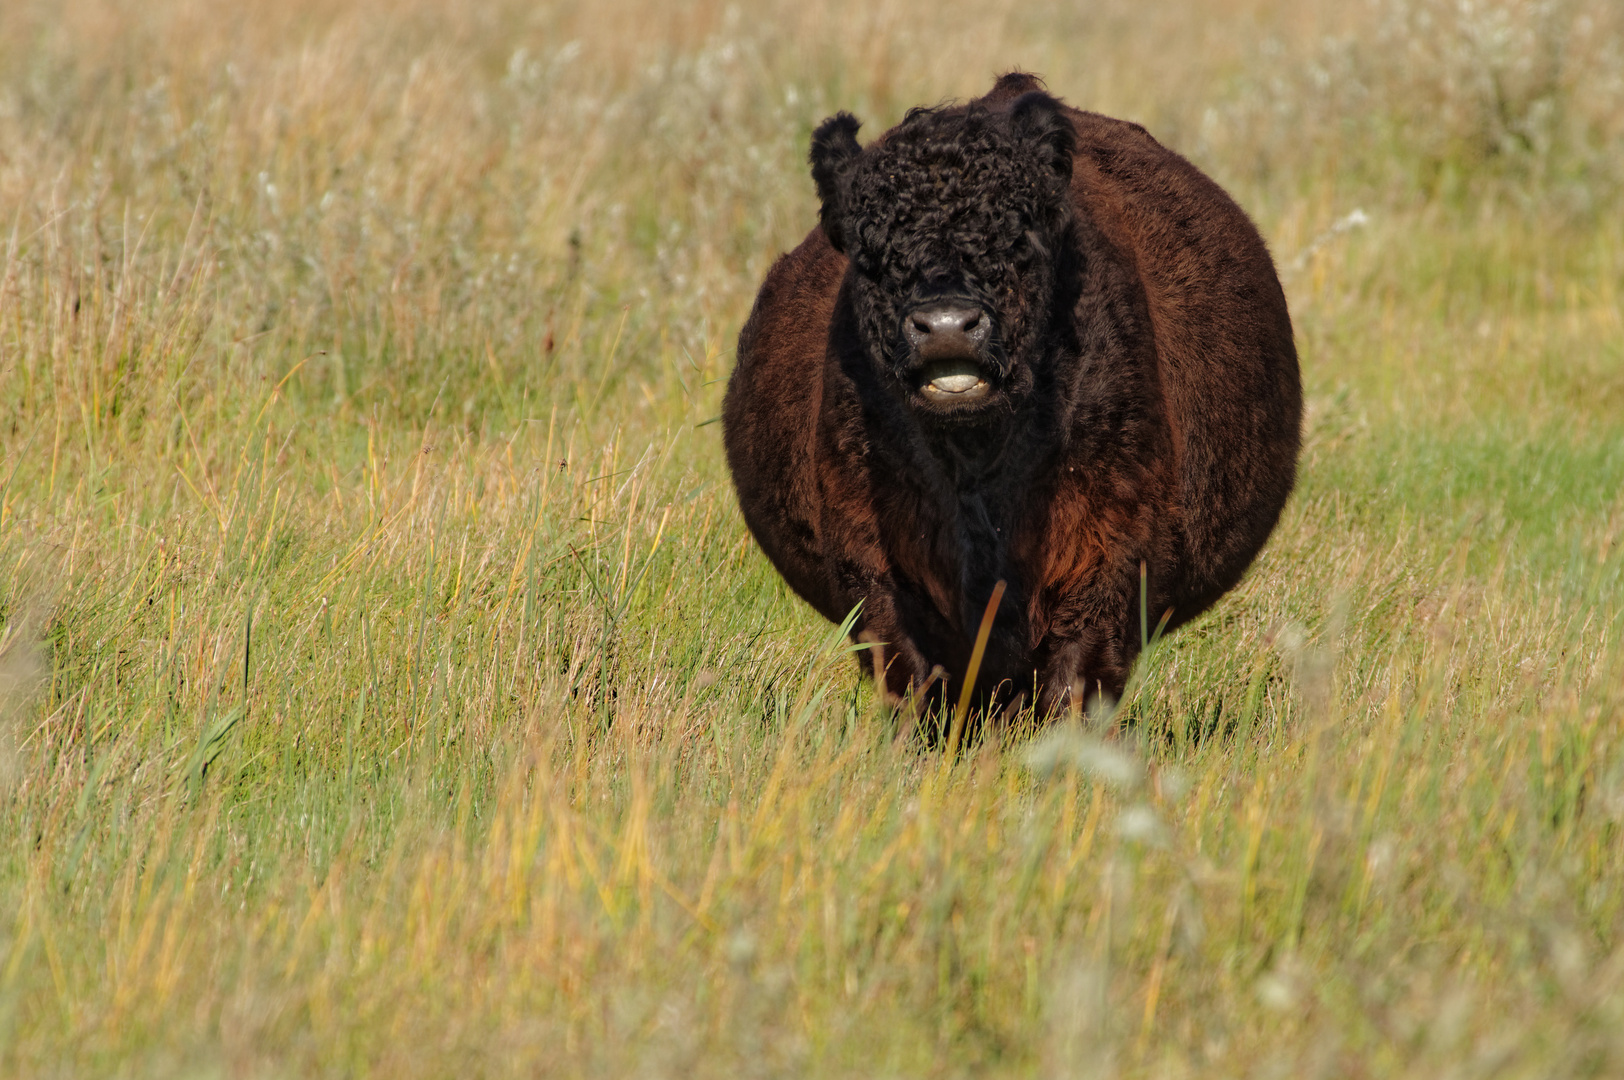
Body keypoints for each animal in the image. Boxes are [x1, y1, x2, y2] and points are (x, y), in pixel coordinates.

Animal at [717, 73, 1299, 714]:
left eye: (1020, 242)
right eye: (869, 255)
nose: (947, 325)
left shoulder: (1107, 562)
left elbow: (1075, 683)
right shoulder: (880, 572)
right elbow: (914, 679)